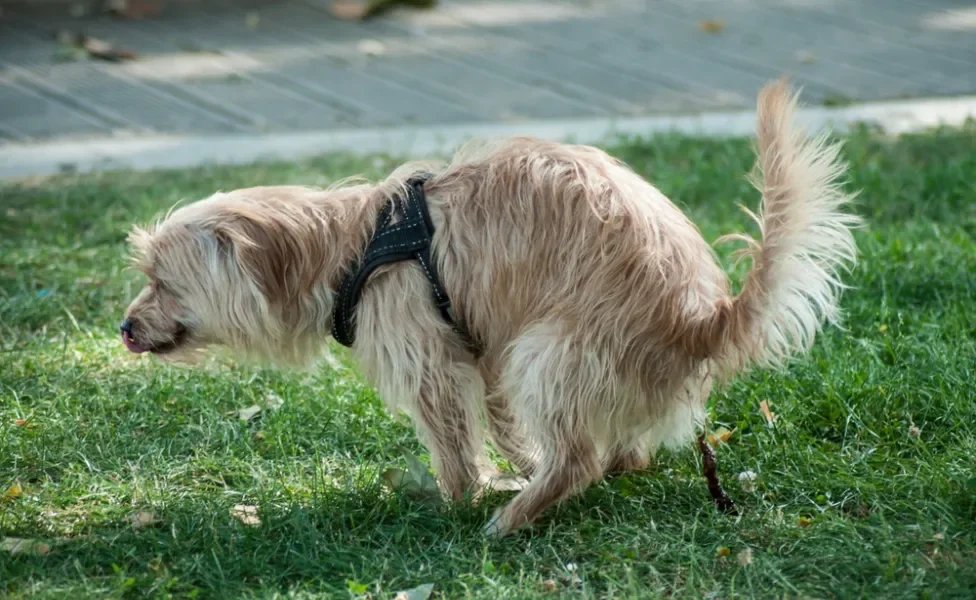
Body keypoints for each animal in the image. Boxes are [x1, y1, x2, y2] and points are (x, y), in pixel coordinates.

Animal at [124, 79, 860, 536]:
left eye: (162, 280)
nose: (123, 326)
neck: (351, 246)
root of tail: (705, 319)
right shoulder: (484, 344)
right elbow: (503, 425)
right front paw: (510, 467)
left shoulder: (432, 359)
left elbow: (451, 440)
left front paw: (455, 500)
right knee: (618, 455)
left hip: (552, 346)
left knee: (578, 459)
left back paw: (510, 519)